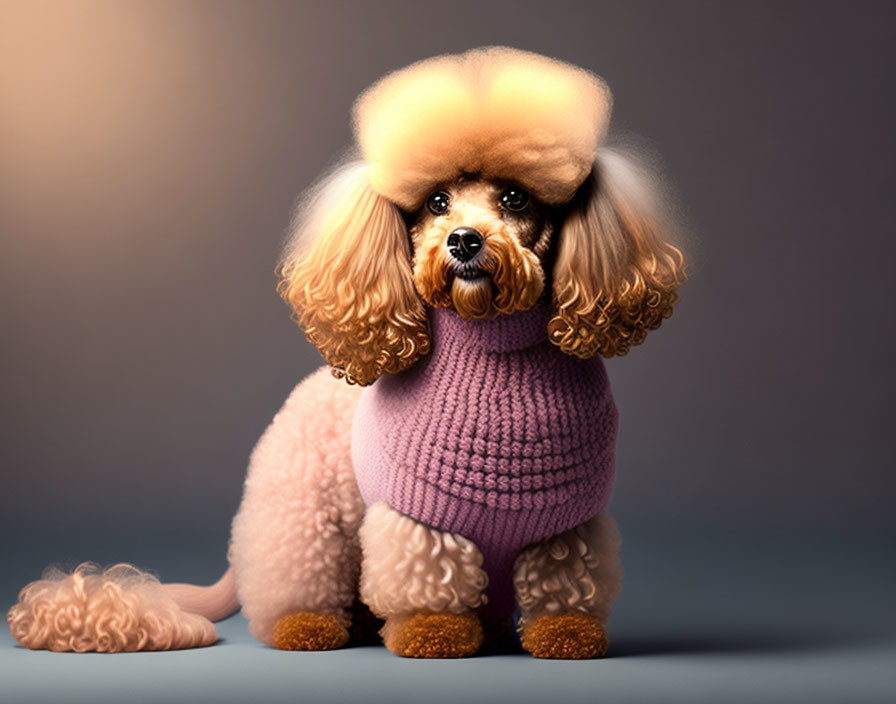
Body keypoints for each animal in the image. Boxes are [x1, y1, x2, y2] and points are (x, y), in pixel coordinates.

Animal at [7, 49, 684, 660]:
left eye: (516, 199)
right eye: (436, 203)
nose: (464, 241)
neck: (491, 346)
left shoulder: (570, 524)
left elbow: (563, 586)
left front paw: (567, 637)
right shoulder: (417, 520)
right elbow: (427, 582)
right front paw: (432, 636)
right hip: (303, 528)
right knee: (295, 592)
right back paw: (309, 627)